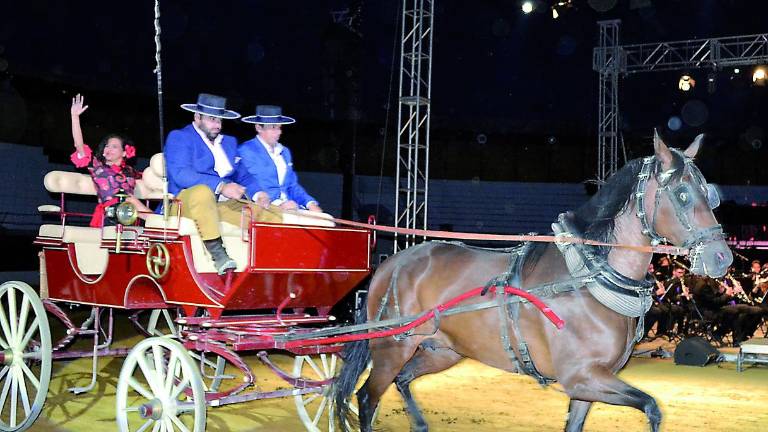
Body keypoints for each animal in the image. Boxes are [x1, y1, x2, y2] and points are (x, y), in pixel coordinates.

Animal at [330, 132, 732, 432]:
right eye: (682, 194)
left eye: (709, 193)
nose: (721, 257)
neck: (589, 279)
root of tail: (390, 264)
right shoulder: (582, 377)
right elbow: (652, 407)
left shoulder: (588, 386)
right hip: (391, 349)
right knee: (367, 399)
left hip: (440, 351)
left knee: (402, 381)